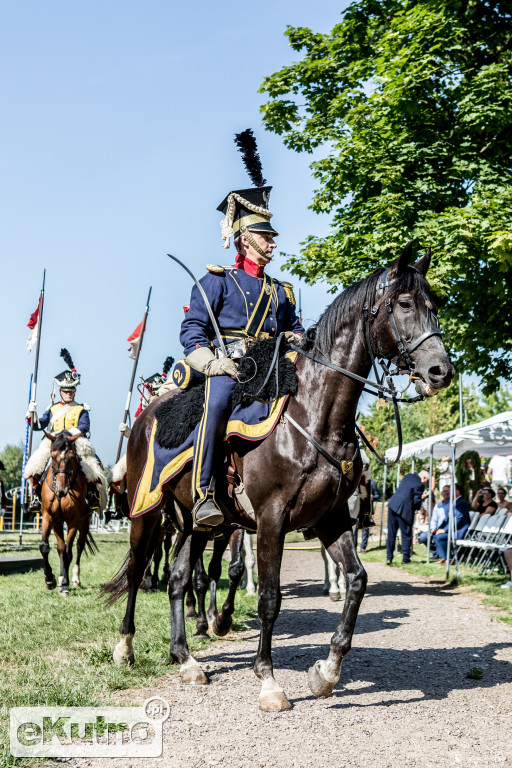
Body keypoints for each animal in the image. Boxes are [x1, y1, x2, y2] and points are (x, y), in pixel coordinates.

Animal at [39, 432, 96, 592]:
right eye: (52, 456)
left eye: (72, 457)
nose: (62, 489)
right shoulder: (49, 517)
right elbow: (47, 547)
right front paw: (50, 579)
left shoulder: (73, 521)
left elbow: (68, 552)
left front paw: (64, 583)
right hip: (59, 522)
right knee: (62, 548)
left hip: (85, 522)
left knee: (79, 546)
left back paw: (75, 579)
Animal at [104, 243, 452, 712]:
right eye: (404, 304)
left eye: (434, 305)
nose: (440, 372)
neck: (314, 416)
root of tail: (145, 417)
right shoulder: (271, 519)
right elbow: (270, 597)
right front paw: (268, 681)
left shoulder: (331, 518)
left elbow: (357, 580)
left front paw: (327, 672)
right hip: (147, 515)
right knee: (140, 570)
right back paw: (126, 647)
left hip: (195, 523)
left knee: (178, 580)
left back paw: (186, 659)